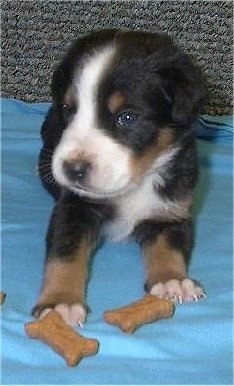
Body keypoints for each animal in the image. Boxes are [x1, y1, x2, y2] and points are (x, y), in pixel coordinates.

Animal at [33, 29, 207, 326]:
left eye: (127, 117)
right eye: (68, 109)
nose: (73, 169)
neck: (136, 184)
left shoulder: (173, 208)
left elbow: (168, 247)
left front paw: (172, 280)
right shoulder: (74, 208)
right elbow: (64, 256)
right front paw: (60, 303)